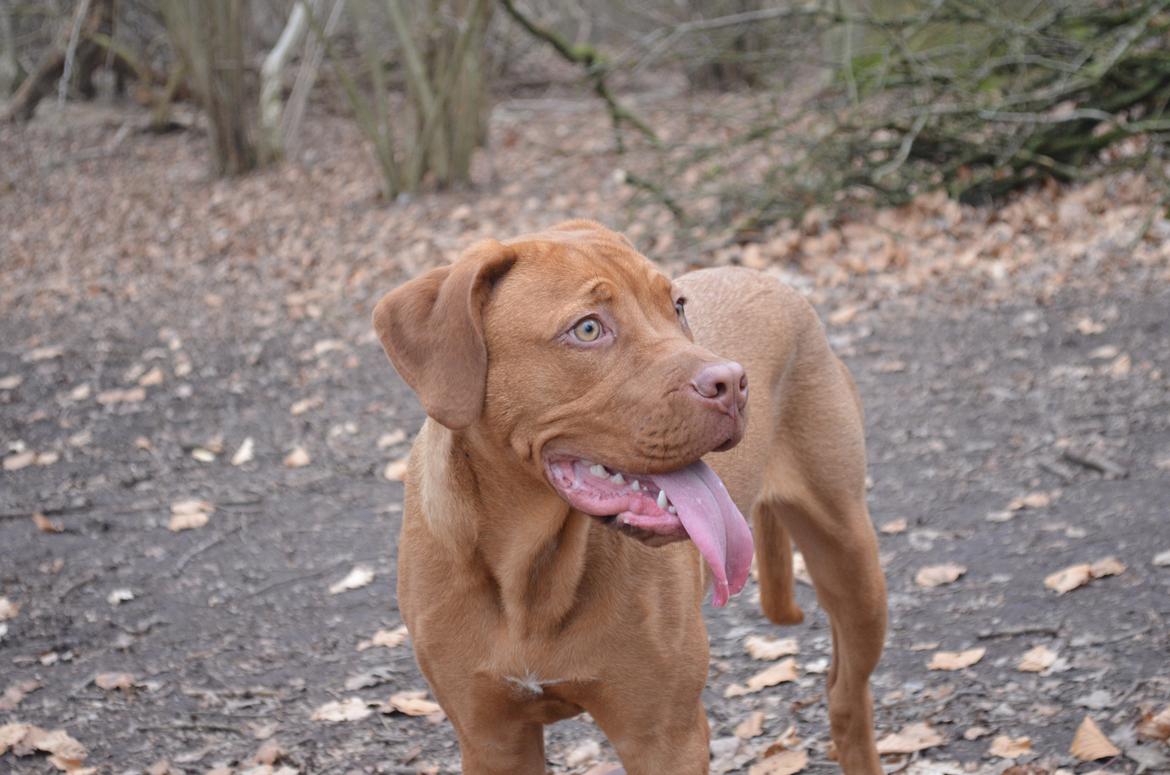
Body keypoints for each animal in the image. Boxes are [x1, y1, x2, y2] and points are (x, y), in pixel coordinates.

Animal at [374, 220, 884, 775]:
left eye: (677, 306)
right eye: (588, 329)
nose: (733, 382)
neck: (531, 574)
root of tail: (768, 277)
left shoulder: (664, 736)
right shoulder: (492, 740)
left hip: (851, 560)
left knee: (846, 693)